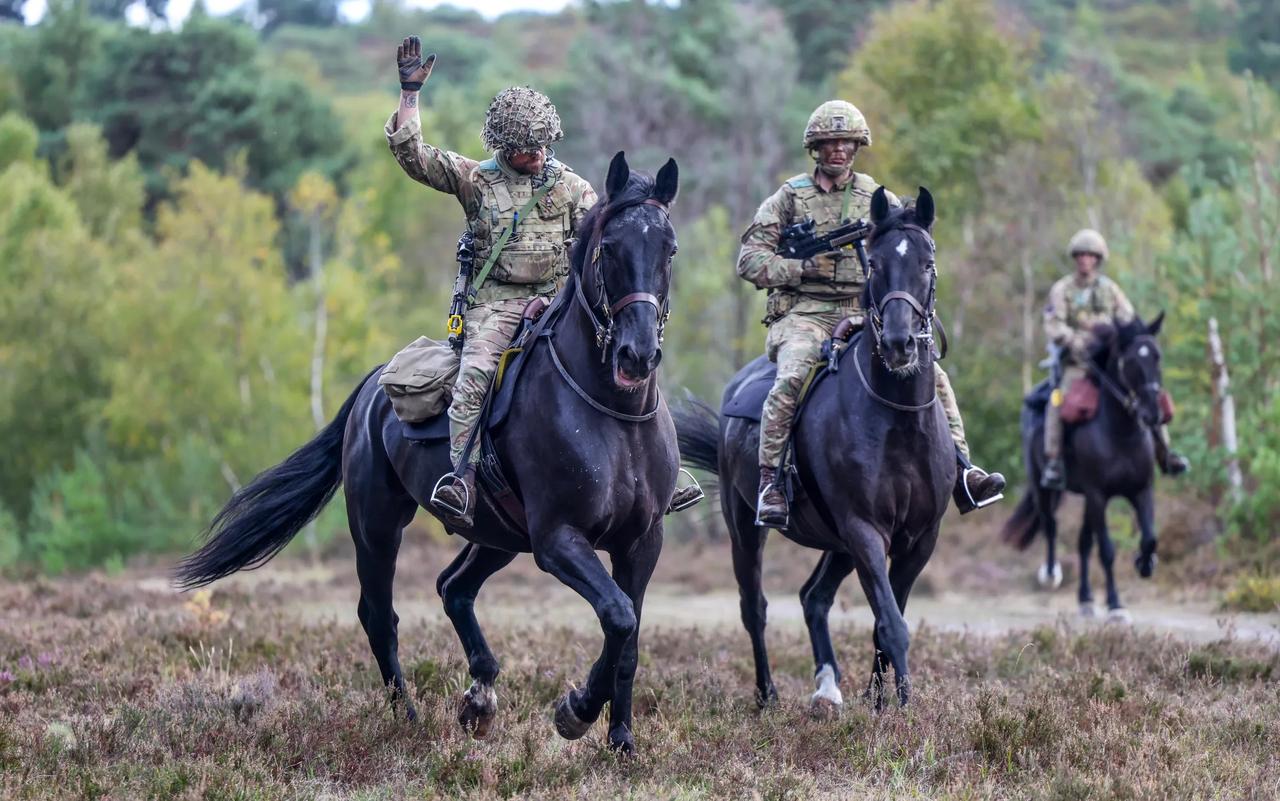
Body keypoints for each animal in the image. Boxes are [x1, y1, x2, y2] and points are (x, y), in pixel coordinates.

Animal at [176, 152, 681, 754]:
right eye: (611, 247)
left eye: (669, 248)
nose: (638, 354)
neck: (610, 414)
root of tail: (373, 389)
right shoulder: (558, 540)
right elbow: (619, 616)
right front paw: (576, 711)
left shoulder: (642, 543)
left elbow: (627, 633)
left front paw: (621, 739)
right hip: (378, 526)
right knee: (380, 615)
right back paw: (408, 717)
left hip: (497, 536)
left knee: (453, 588)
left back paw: (479, 698)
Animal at [674, 187, 953, 712]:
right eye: (876, 263)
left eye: (927, 262)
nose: (900, 343)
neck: (898, 420)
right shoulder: (864, 530)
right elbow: (892, 624)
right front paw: (903, 710)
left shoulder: (919, 539)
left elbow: (886, 623)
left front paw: (883, 703)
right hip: (746, 528)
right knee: (755, 607)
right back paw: (768, 695)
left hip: (836, 543)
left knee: (813, 596)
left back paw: (828, 686)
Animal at [1001, 315, 1166, 621]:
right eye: (1130, 361)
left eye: (1157, 356)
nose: (1152, 414)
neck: (1121, 434)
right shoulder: (1098, 495)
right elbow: (1107, 550)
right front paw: (1115, 604)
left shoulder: (1141, 490)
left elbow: (1149, 538)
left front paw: (1145, 563)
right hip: (1045, 487)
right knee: (1050, 526)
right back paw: (1051, 574)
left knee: (1082, 542)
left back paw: (1086, 599)